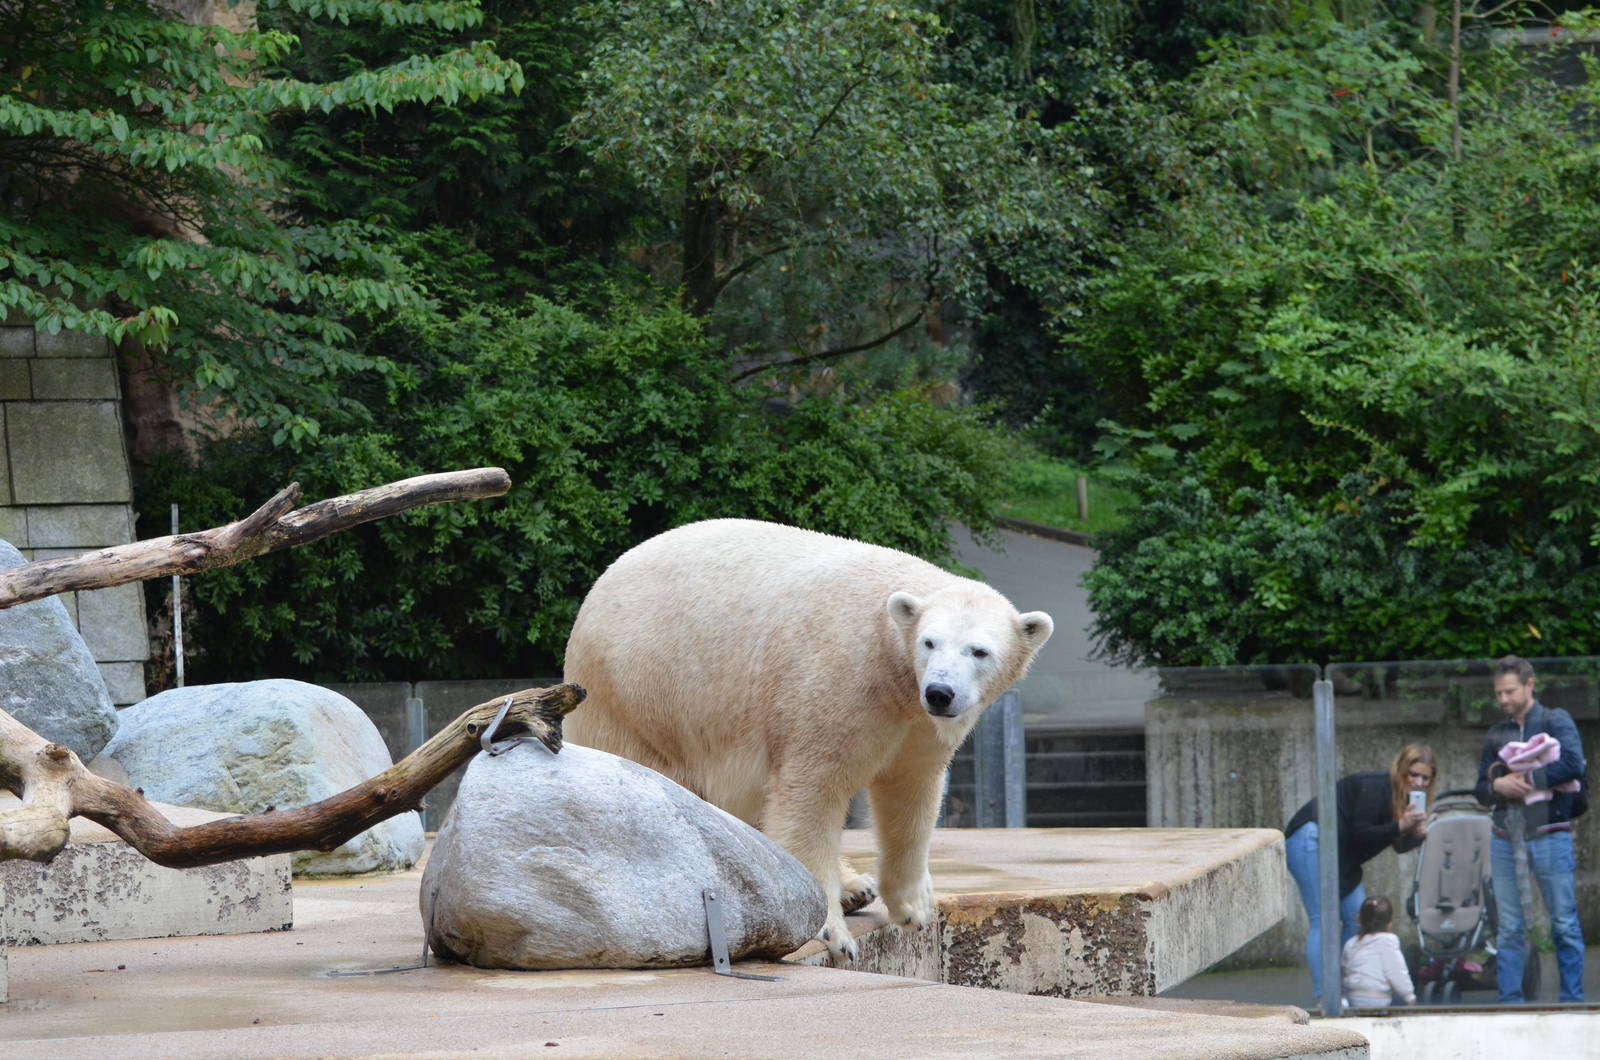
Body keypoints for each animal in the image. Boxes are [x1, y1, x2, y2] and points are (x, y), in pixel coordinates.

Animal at [562, 518, 1053, 960]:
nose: (940, 692)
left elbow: (910, 794)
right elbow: (813, 793)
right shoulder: (838, 683)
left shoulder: (915, 724)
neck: (890, 666)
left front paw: (913, 908)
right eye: (930, 643)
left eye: (979, 651)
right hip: (643, 696)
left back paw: (856, 887)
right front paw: (833, 934)